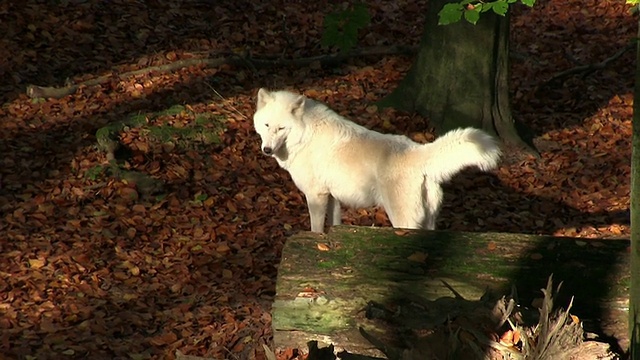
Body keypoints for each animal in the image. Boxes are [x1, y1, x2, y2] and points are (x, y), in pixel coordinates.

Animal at [252, 88, 502, 232]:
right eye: (266, 125)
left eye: (281, 128)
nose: (266, 150)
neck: (304, 135)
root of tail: (418, 151)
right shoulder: (333, 198)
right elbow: (335, 226)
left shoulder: (316, 196)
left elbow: (316, 230)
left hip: (402, 221)